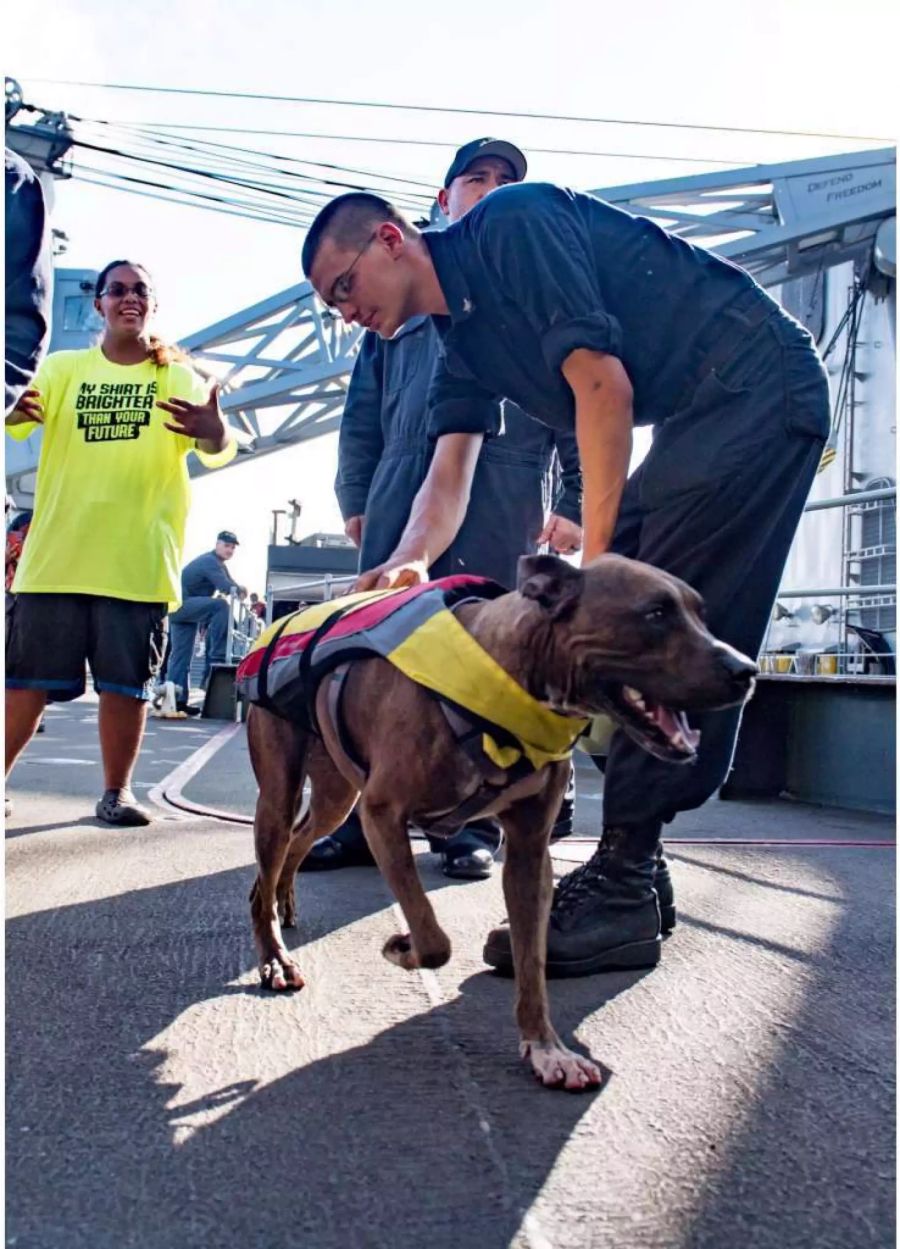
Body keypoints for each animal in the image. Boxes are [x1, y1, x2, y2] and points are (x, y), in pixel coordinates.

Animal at [242, 557, 753, 1094]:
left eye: (701, 614)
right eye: (655, 612)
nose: (747, 671)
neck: (510, 676)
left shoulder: (530, 853)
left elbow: (532, 962)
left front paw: (547, 1048)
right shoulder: (382, 813)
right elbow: (433, 939)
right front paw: (403, 949)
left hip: (336, 797)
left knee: (299, 842)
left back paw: (284, 899)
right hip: (282, 795)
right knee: (267, 870)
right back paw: (275, 954)